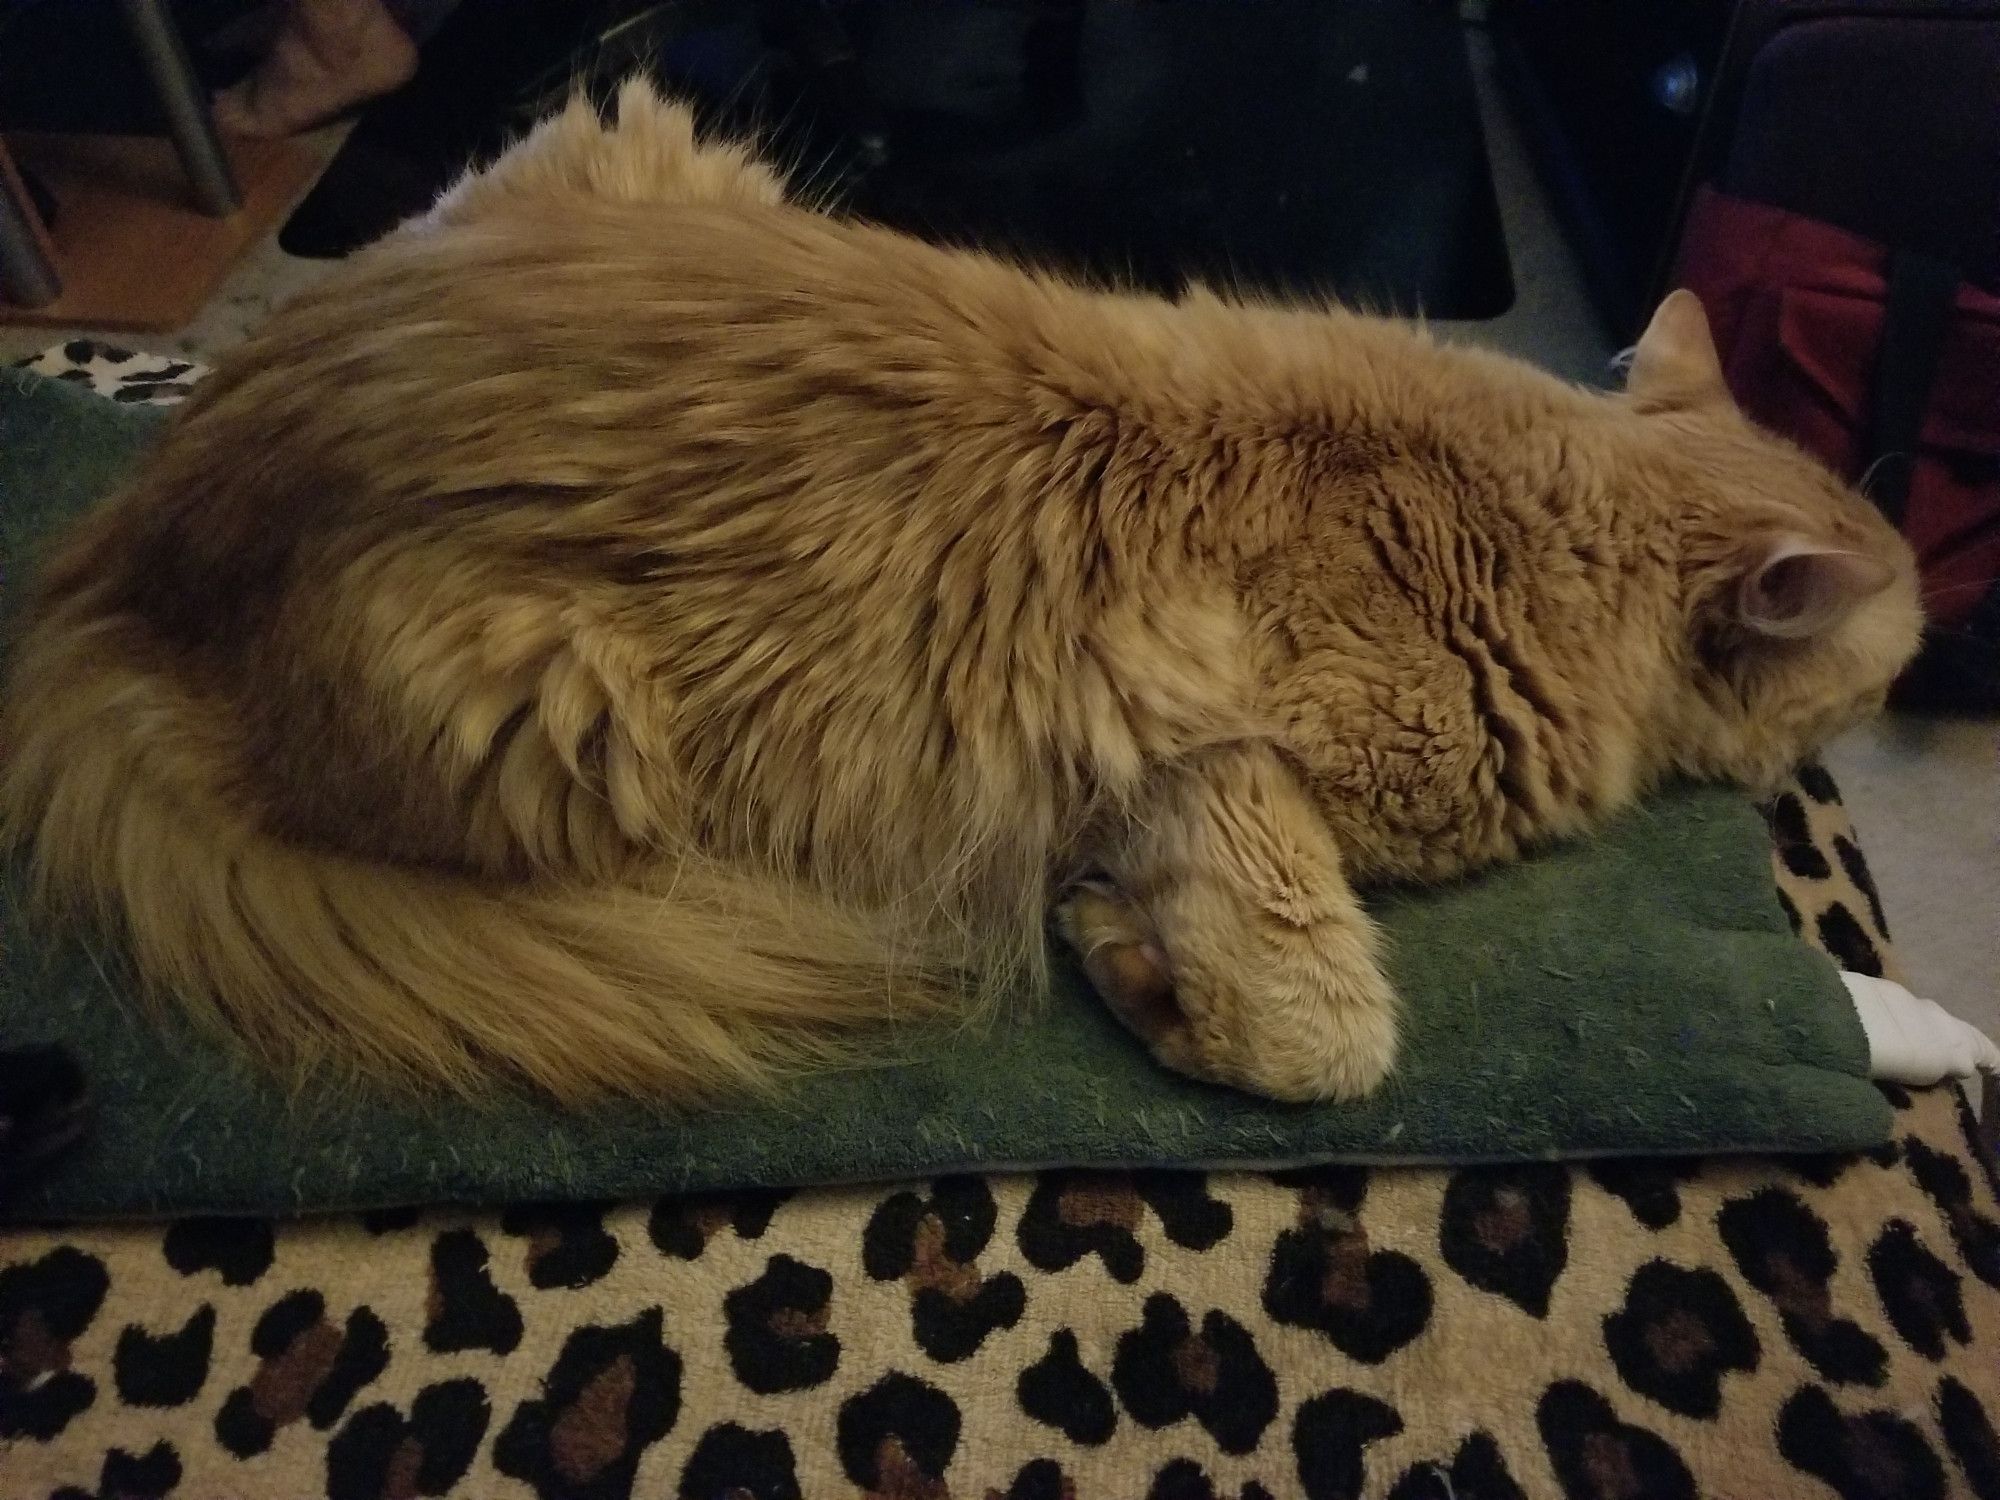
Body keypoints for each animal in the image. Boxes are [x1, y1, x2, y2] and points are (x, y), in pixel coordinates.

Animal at [0, 85, 1920, 1120]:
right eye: (1890, 676)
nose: (1892, 713)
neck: (1545, 515)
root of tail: (118, 539)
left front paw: (1121, 948)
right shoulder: (1226, 756)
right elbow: (1326, 1030)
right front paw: (1132, 968)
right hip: (560, 715)